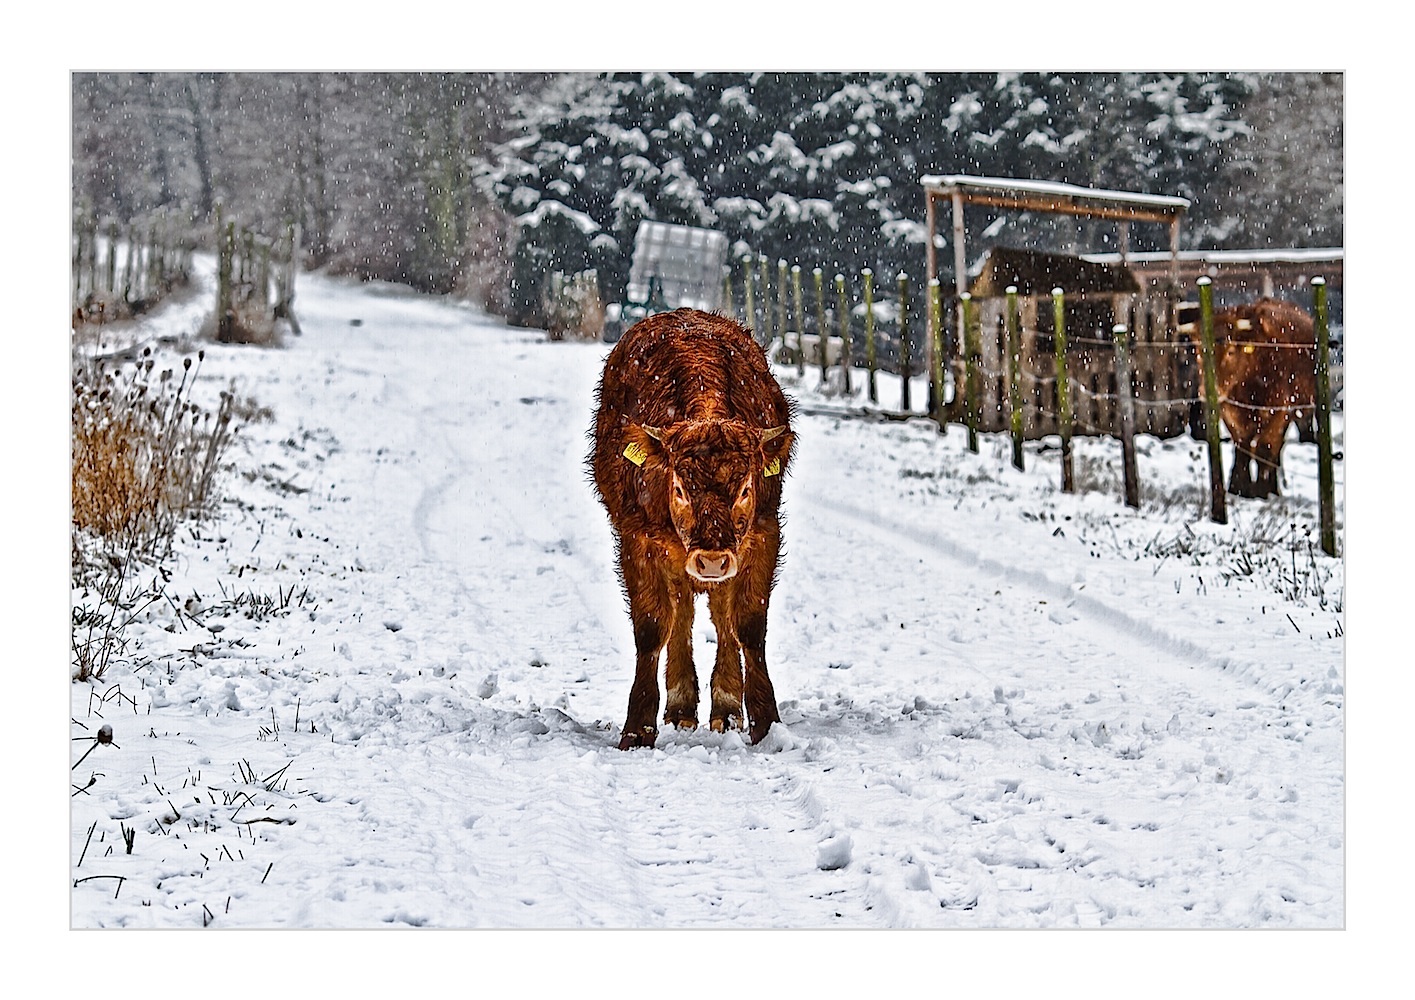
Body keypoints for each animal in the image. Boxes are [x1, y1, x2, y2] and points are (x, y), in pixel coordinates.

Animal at [588, 308, 798, 746]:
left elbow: (748, 624)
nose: (712, 560)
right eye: (680, 489)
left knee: (720, 617)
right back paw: (682, 708)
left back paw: (726, 710)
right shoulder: (636, 538)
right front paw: (637, 730)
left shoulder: (763, 533)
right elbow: (653, 628)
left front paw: (766, 724)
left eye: (746, 488)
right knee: (681, 614)